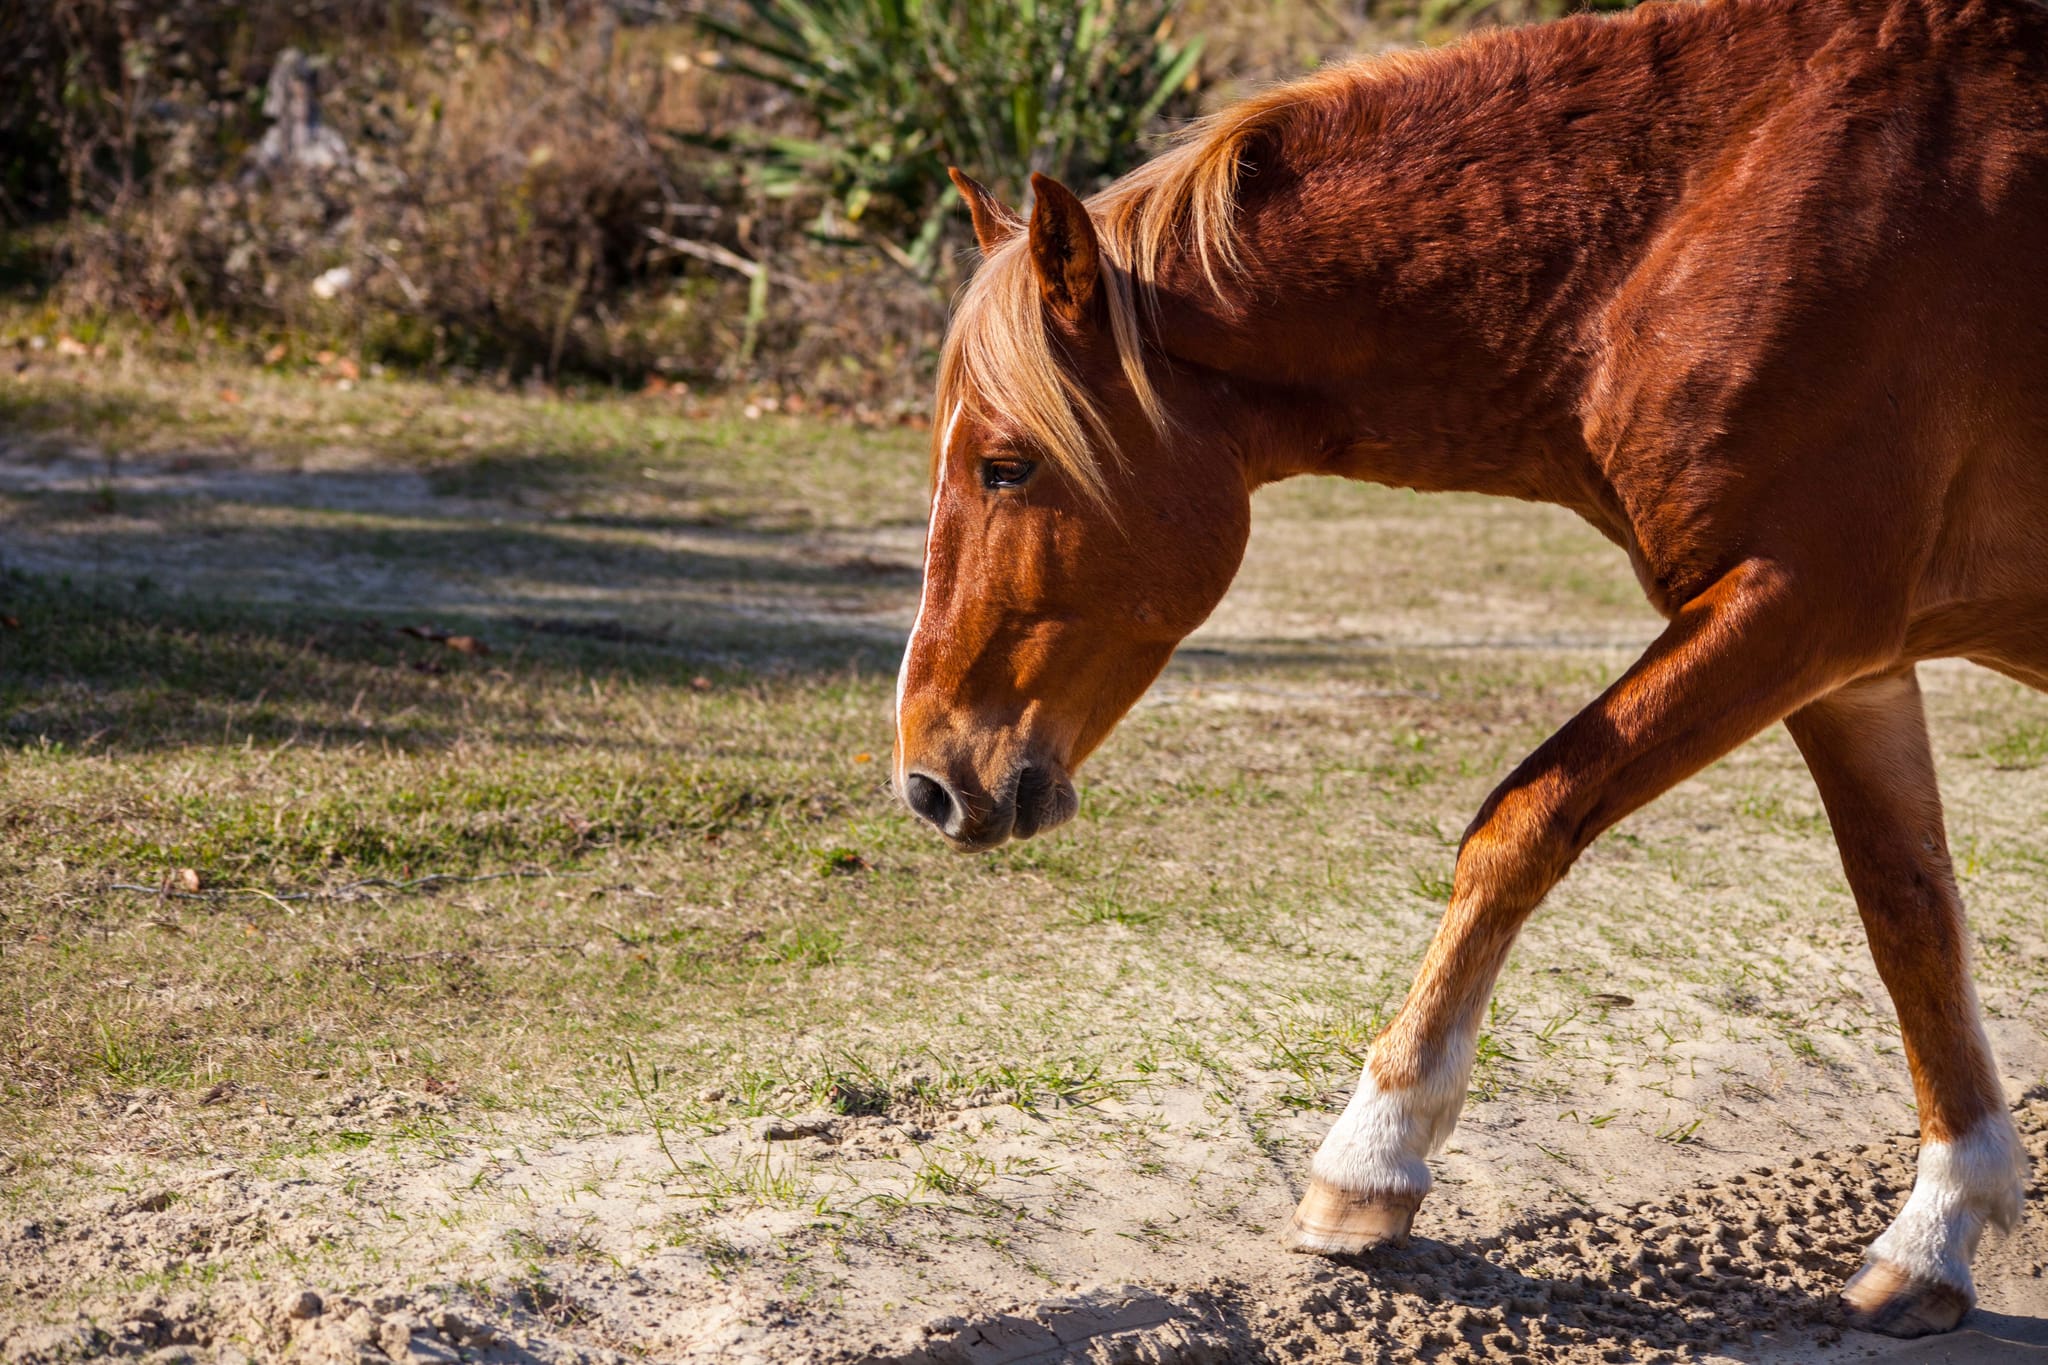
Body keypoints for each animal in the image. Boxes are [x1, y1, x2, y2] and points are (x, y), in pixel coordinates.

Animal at [890, 0, 2048, 1338]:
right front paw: (1940, 1224)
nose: (926, 779)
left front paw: (1369, 1157)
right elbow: (1906, 914)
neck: (1715, 202)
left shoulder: (1795, 606)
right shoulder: (1848, 662)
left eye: (1007, 464)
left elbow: (1520, 822)